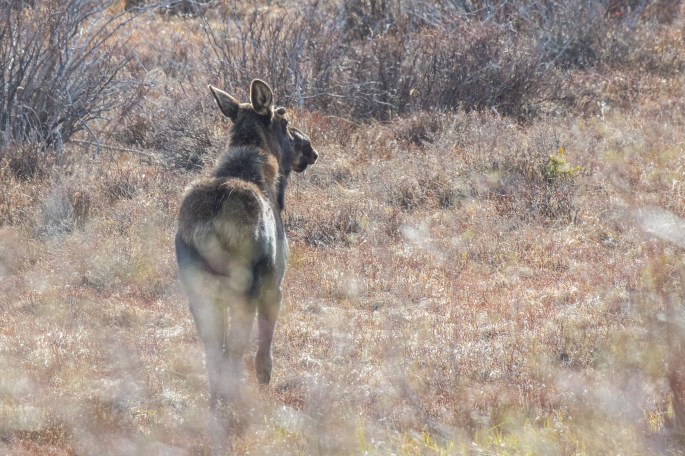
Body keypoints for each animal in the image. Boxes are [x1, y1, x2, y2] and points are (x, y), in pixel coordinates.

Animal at [175, 80, 318, 410]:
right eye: (284, 118)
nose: (311, 149)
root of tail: (209, 226)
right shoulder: (274, 282)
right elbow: (264, 346)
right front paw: (265, 380)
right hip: (244, 289)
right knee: (234, 351)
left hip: (199, 293)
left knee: (214, 351)